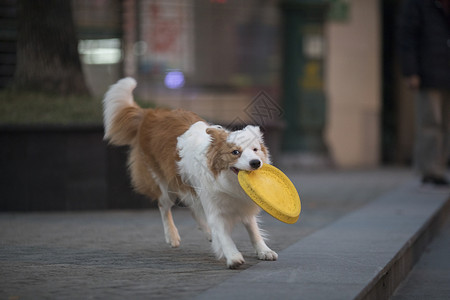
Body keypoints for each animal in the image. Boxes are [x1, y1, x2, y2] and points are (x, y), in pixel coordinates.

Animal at [103, 78, 278, 270]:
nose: (256, 163)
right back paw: (172, 236)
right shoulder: (214, 208)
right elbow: (224, 234)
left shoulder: (242, 204)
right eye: (235, 152)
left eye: (255, 149)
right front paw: (233, 256)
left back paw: (208, 233)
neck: (228, 180)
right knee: (163, 206)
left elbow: (253, 230)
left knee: (194, 209)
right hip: (164, 184)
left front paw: (264, 250)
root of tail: (149, 113)